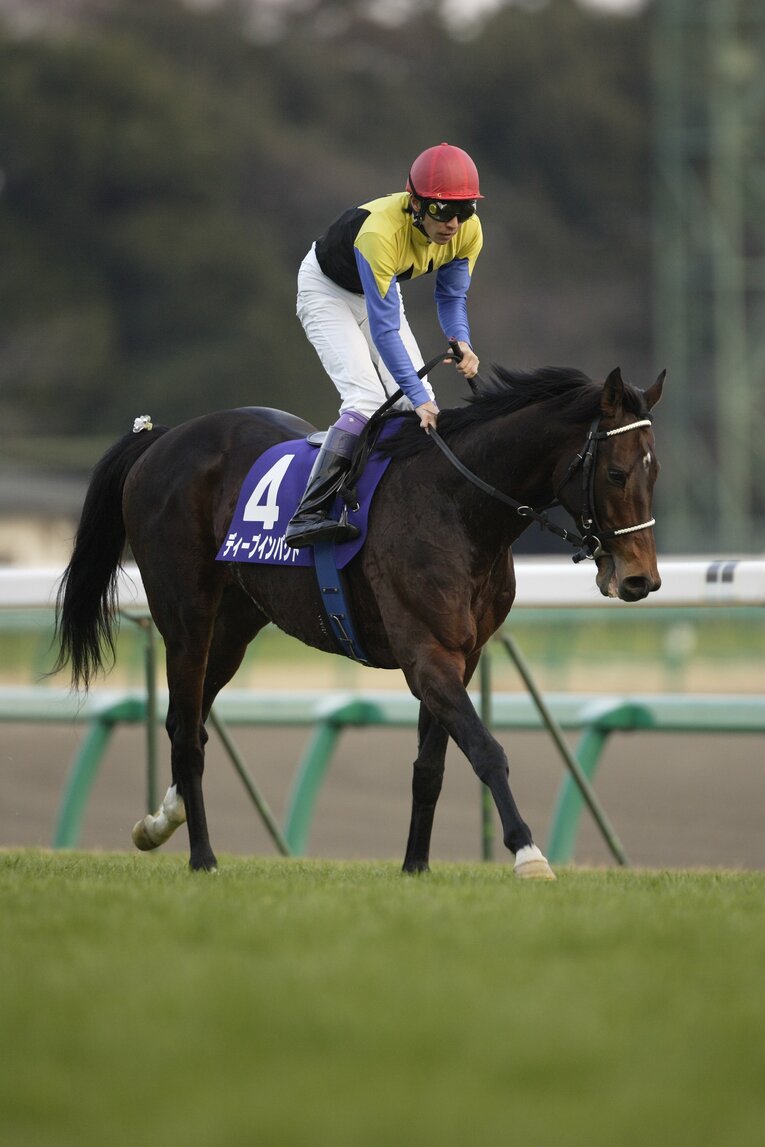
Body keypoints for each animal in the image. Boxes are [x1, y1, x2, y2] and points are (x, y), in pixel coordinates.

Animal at [54, 362, 664, 879]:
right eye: (615, 472)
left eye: (654, 473)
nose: (642, 580)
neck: (457, 505)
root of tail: (160, 438)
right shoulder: (426, 654)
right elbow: (486, 750)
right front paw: (528, 853)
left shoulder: (461, 657)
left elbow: (431, 766)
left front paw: (415, 866)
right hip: (186, 618)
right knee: (187, 736)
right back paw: (202, 857)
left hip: (234, 625)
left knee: (187, 721)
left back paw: (160, 822)